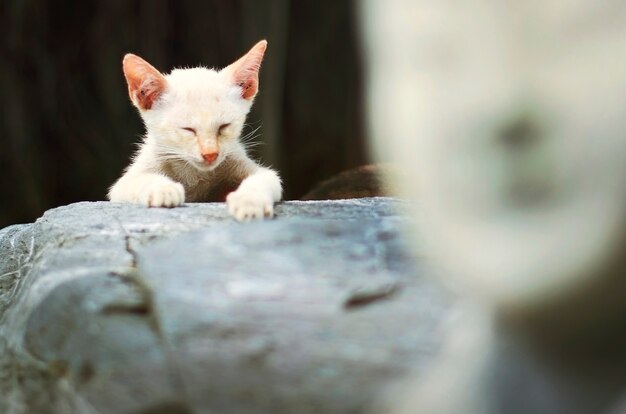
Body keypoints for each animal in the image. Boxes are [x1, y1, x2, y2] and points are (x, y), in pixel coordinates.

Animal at [108, 40, 282, 222]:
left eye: (224, 126)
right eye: (188, 130)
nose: (211, 154)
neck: (194, 174)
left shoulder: (251, 166)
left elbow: (263, 178)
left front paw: (249, 201)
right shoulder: (122, 186)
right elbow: (140, 180)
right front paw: (163, 190)